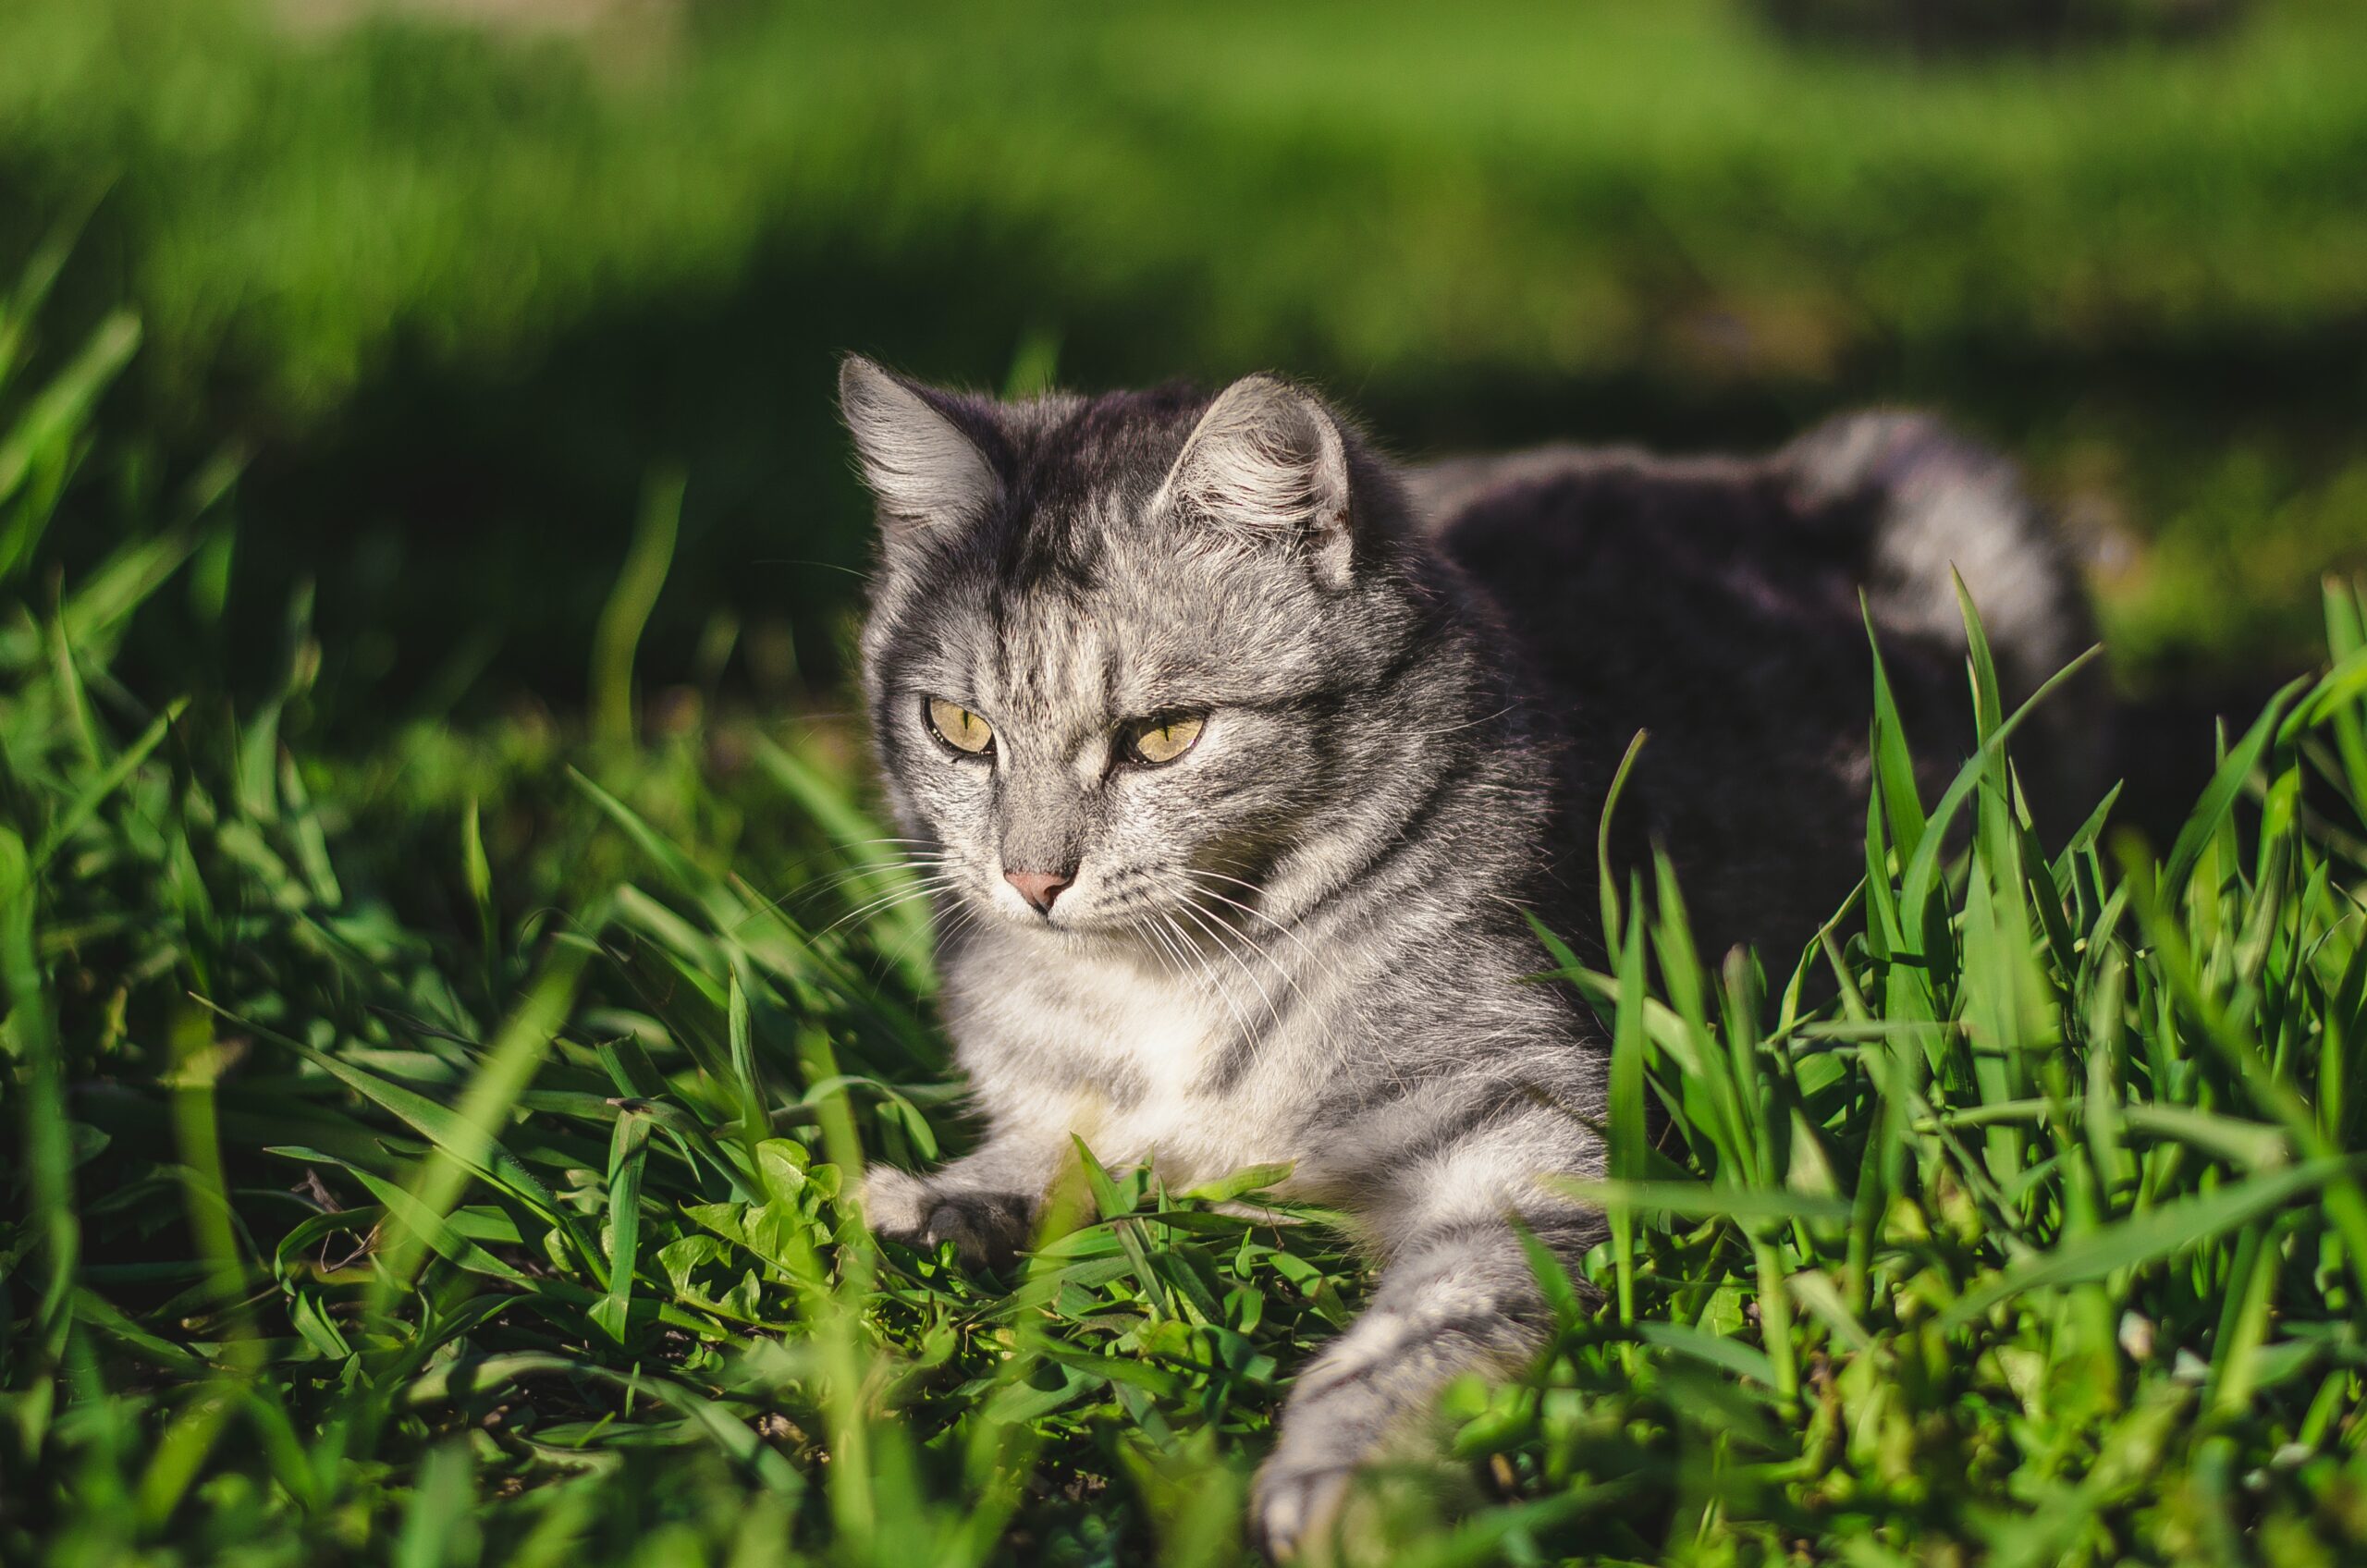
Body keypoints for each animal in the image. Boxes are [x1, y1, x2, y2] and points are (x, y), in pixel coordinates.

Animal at [838, 364, 2092, 1562]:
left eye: (1164, 736)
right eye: (958, 727)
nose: (1030, 880)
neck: (1161, 981)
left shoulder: (1521, 1128)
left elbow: (1432, 1321)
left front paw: (1348, 1474)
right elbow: (1041, 1149)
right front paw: (933, 1203)